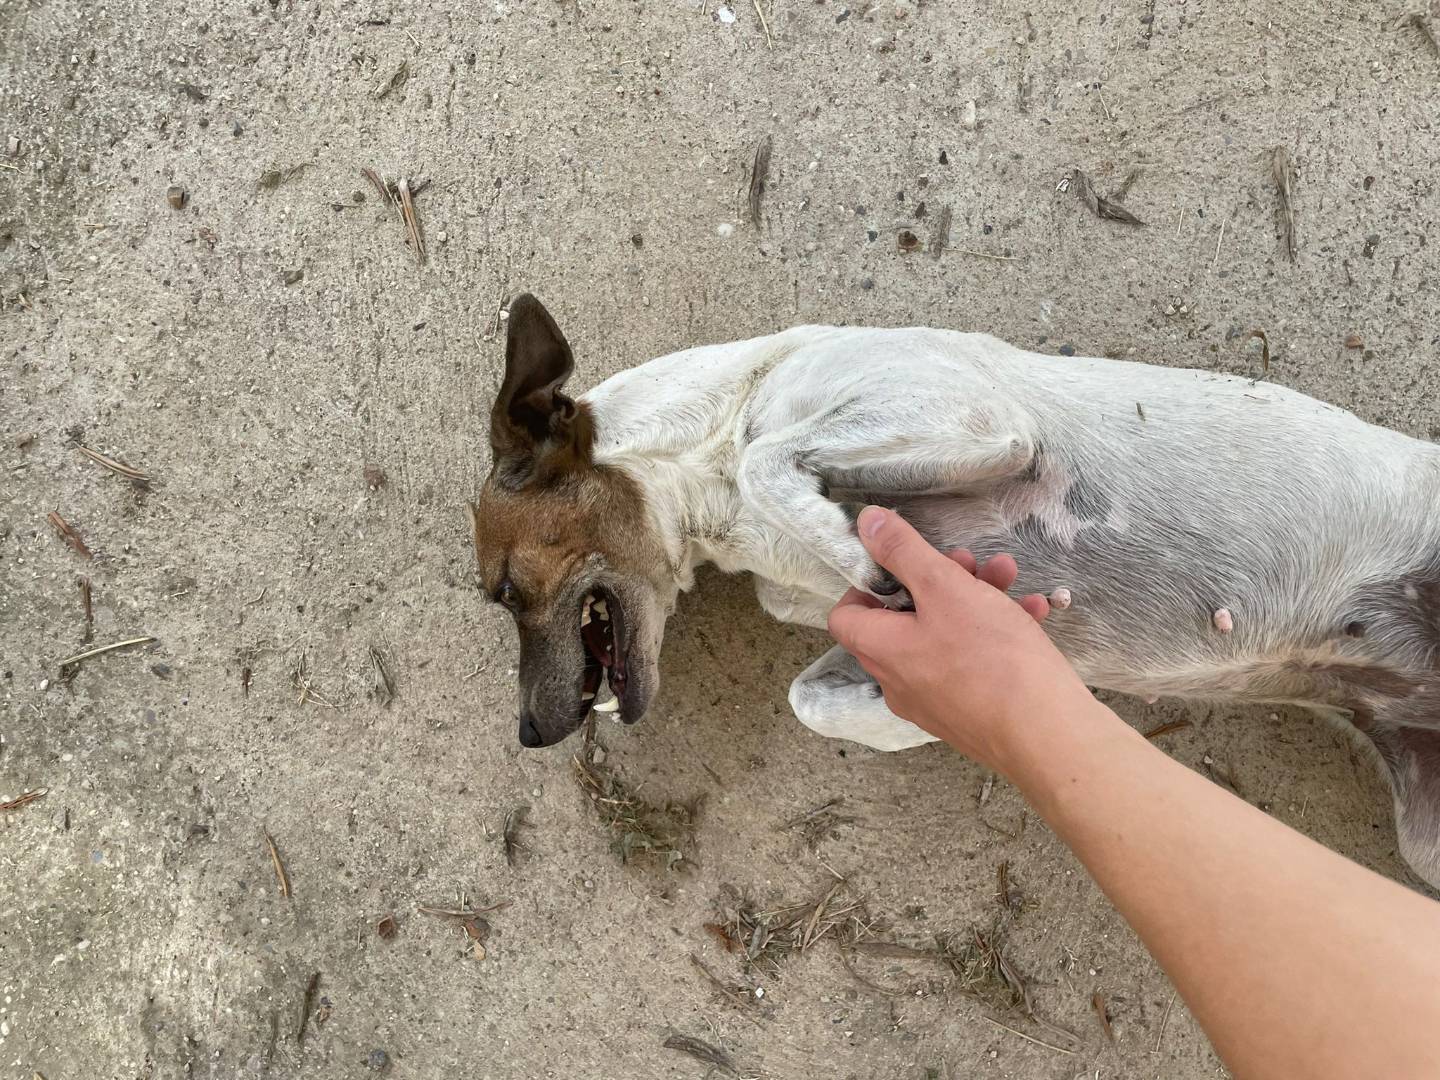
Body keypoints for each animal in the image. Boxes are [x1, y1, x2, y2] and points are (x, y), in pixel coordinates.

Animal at [471, 294, 1440, 887]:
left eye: (502, 588)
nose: (526, 734)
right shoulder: (854, 621)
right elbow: (817, 698)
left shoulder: (980, 423)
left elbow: (767, 459)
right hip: (1426, 842)